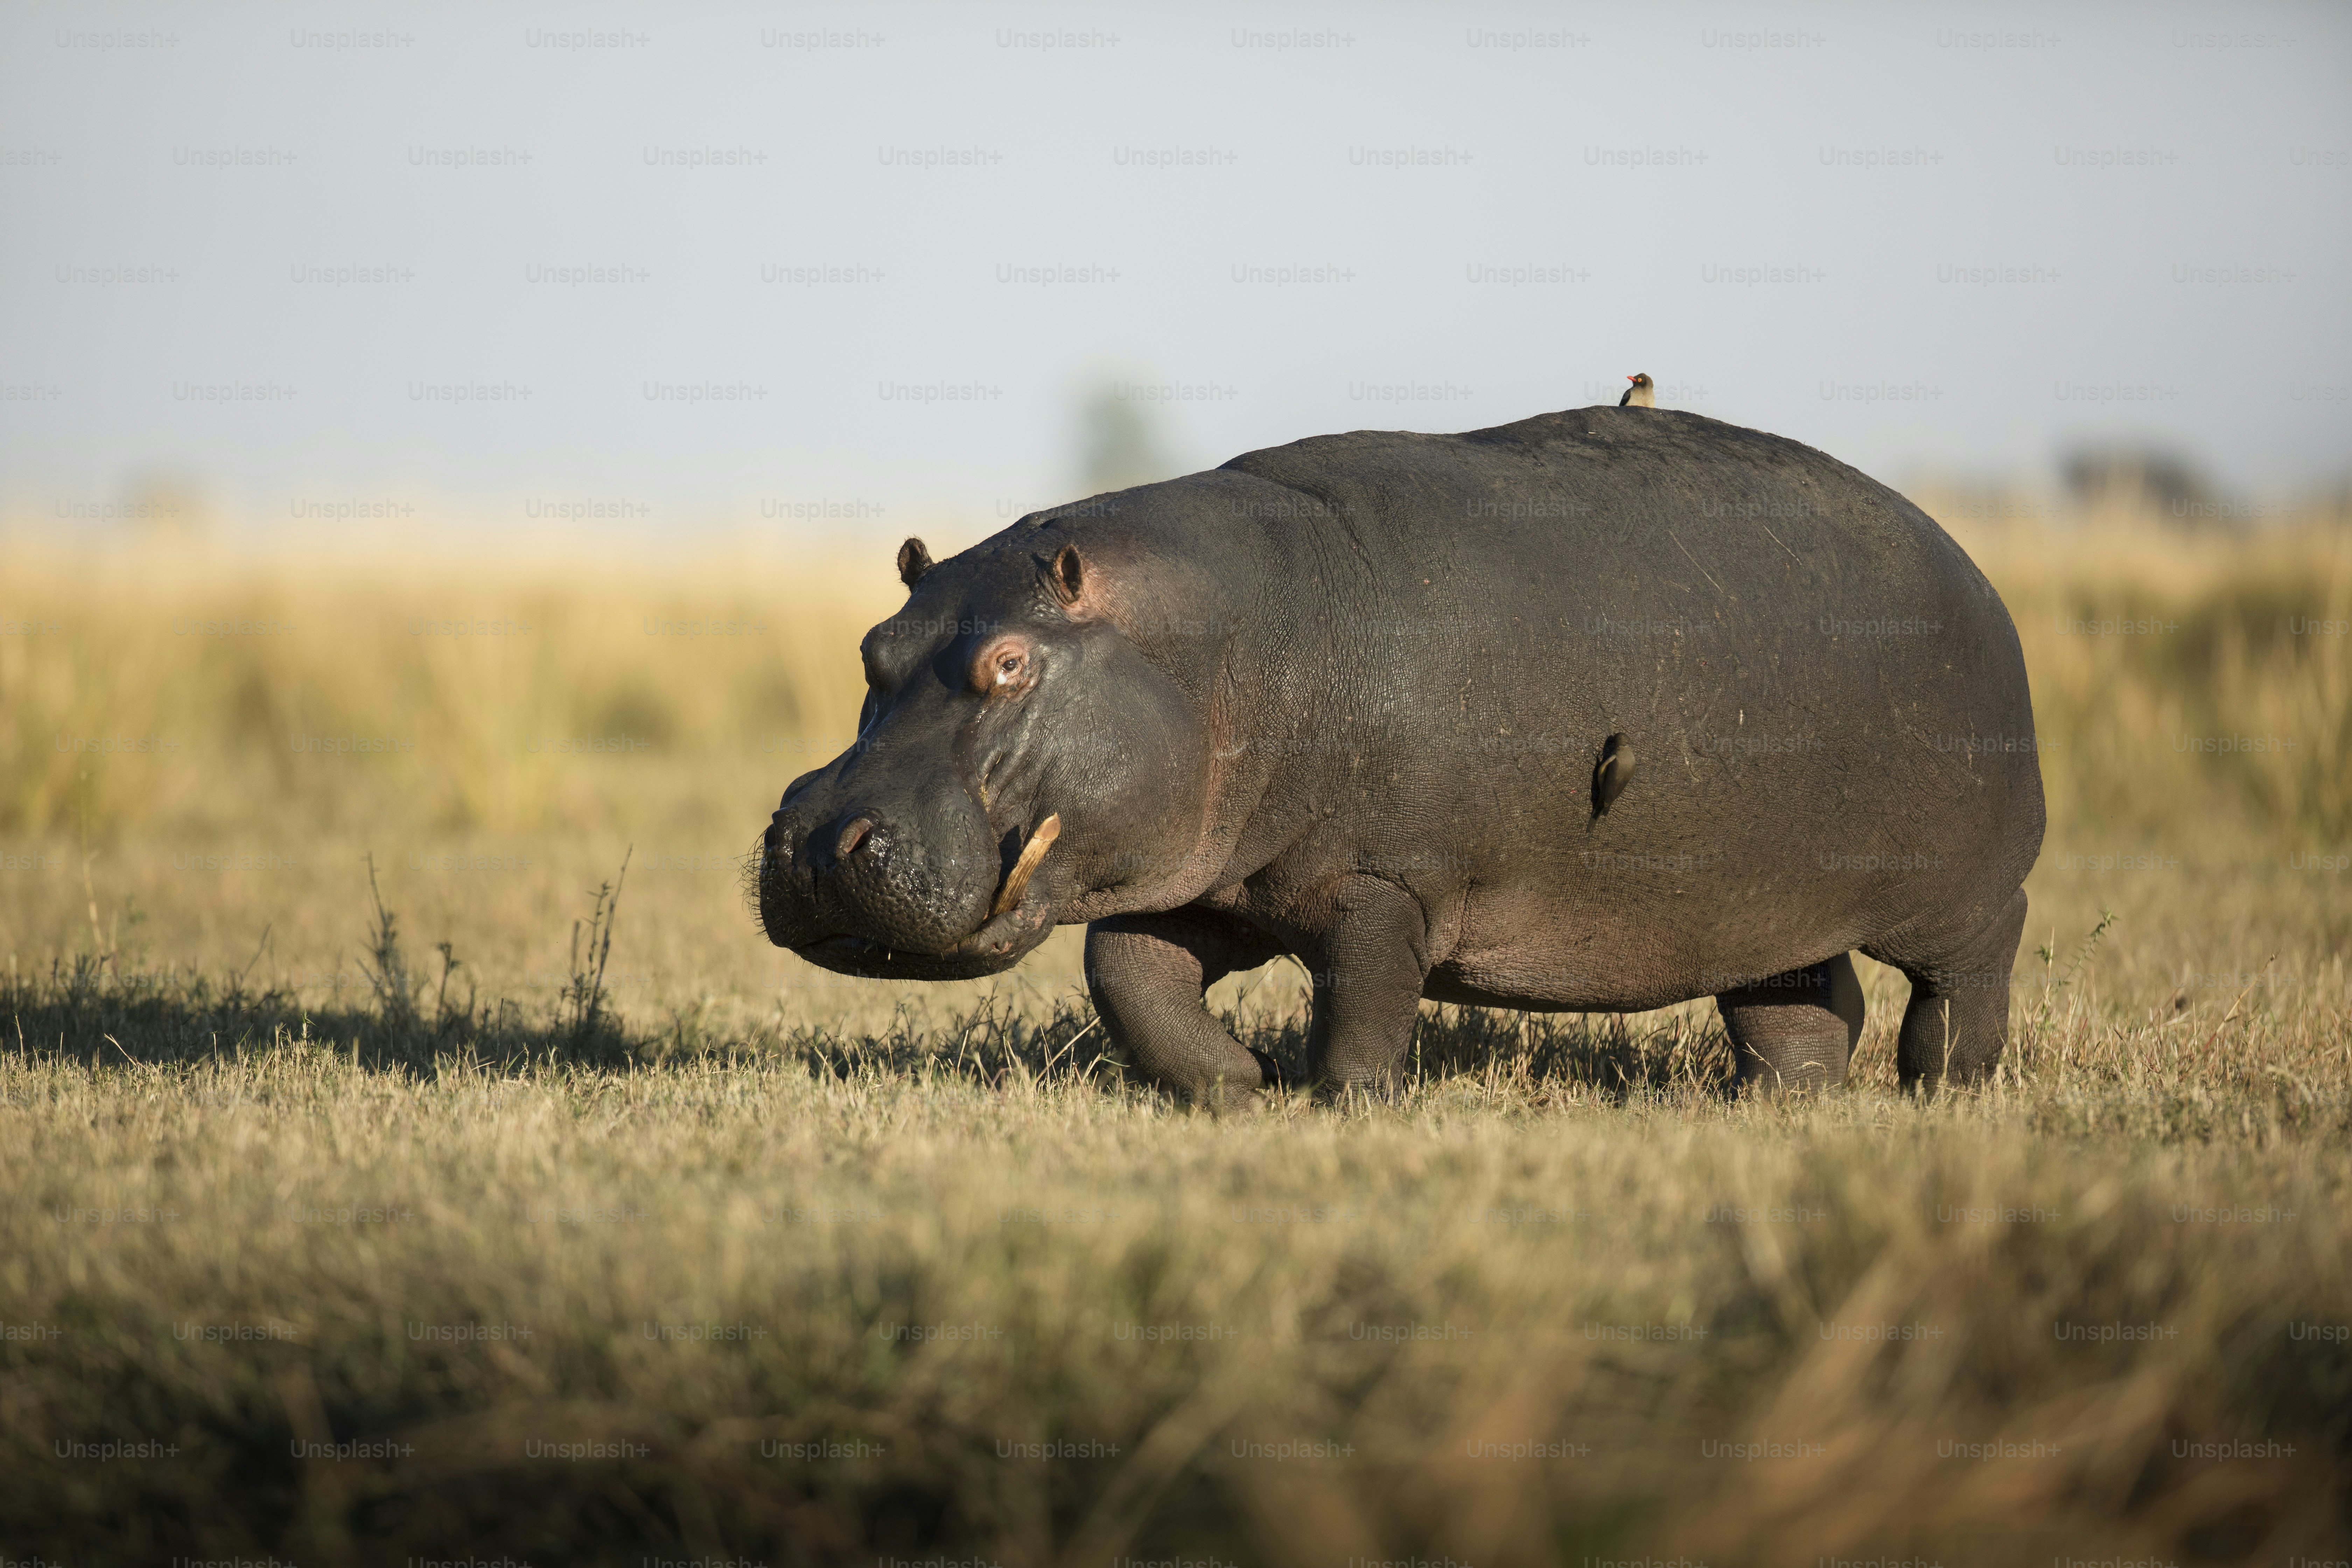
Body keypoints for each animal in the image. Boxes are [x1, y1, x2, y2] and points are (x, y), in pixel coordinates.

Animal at [755, 406, 2045, 1106]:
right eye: (874, 647)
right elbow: (1128, 975)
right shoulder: (1223, 879)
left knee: (1967, 973)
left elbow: (1366, 1002)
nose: (815, 842)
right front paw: (1234, 1092)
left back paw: (1942, 1087)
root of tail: (1967, 558)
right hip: (1768, 901)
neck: (1230, 640)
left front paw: (1342, 1107)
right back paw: (1777, 1104)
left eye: (1012, 663)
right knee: (1802, 1001)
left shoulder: (1384, 884)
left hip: (1960, 892)